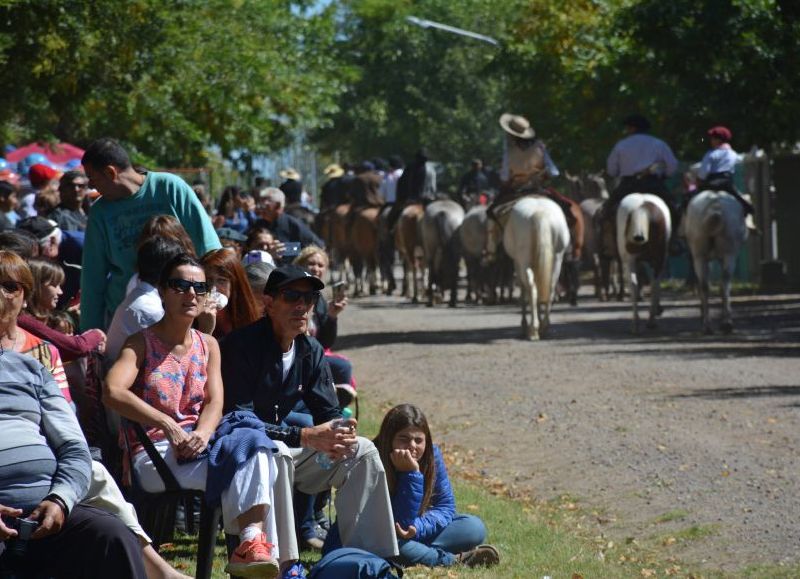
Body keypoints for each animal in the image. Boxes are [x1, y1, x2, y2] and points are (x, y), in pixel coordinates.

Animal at [488, 196, 568, 340]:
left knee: (531, 288)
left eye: (490, 231)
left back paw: (533, 330)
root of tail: (540, 212)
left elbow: (523, 293)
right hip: (558, 258)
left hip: (524, 260)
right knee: (551, 289)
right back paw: (543, 326)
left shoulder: (517, 263)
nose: (489, 256)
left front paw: (524, 325)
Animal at [616, 193, 672, 334]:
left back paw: (637, 323)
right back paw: (650, 321)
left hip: (630, 259)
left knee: (635, 284)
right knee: (654, 283)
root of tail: (643, 206)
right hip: (657, 258)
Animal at [684, 191, 748, 336]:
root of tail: (715, 204)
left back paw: (708, 325)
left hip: (700, 256)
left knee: (705, 286)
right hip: (729, 254)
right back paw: (725, 323)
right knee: (724, 285)